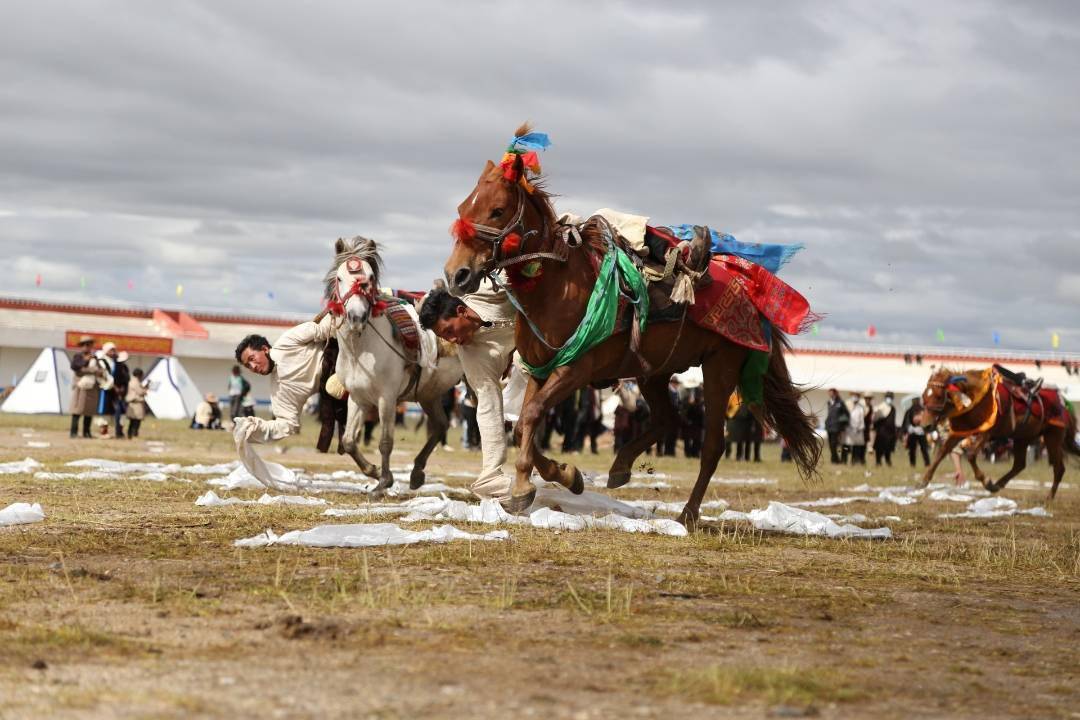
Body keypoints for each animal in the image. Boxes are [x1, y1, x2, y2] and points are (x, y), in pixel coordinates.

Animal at [321, 239, 462, 492]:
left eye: (370, 278)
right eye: (339, 278)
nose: (356, 317)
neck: (360, 352)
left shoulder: (386, 398)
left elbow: (385, 441)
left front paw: (384, 482)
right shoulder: (357, 398)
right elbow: (348, 441)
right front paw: (374, 471)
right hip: (429, 393)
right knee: (440, 425)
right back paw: (417, 473)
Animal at [438, 125, 816, 524]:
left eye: (497, 211)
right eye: (463, 209)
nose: (456, 274)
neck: (556, 284)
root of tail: (749, 292)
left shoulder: (575, 369)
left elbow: (530, 416)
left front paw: (528, 487)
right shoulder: (539, 368)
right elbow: (525, 423)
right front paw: (562, 475)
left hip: (720, 368)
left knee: (712, 444)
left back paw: (688, 514)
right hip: (655, 371)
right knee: (667, 420)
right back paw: (621, 465)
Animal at [920, 367, 1080, 500]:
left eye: (939, 396)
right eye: (924, 396)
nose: (926, 425)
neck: (976, 398)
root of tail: (1064, 403)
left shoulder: (986, 433)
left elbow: (970, 455)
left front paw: (986, 481)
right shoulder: (961, 432)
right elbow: (942, 451)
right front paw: (925, 480)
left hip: (1053, 437)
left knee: (1059, 468)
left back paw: (1049, 497)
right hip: (1022, 438)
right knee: (1019, 465)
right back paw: (997, 485)